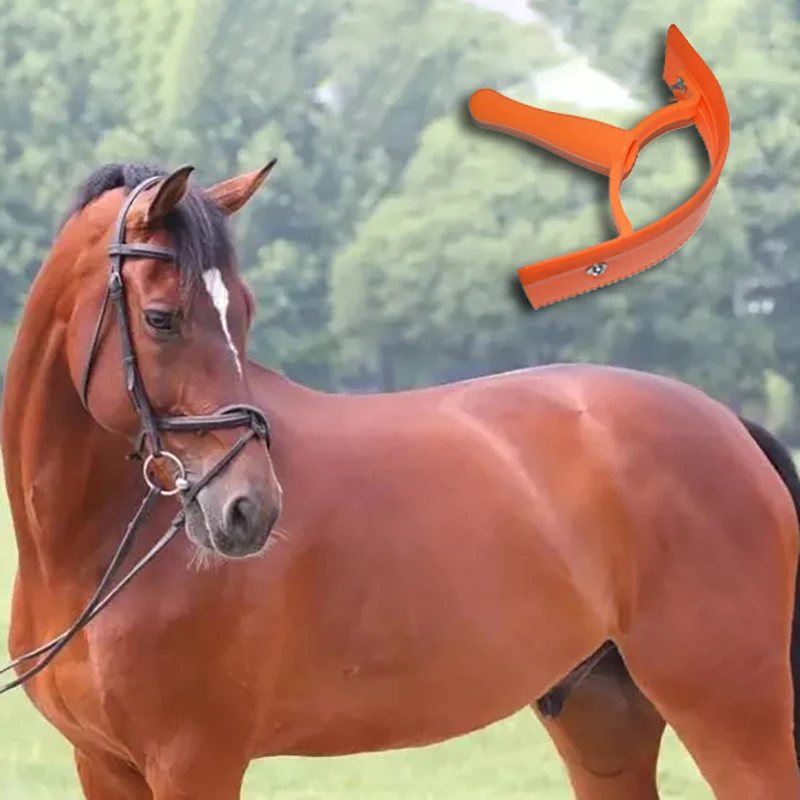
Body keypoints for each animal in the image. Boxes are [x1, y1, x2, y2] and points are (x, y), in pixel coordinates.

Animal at [2, 161, 799, 799]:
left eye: (246, 313)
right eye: (162, 318)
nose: (249, 510)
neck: (89, 553)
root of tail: (730, 424)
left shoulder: (194, 761)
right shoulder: (103, 764)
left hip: (734, 715)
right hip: (604, 720)